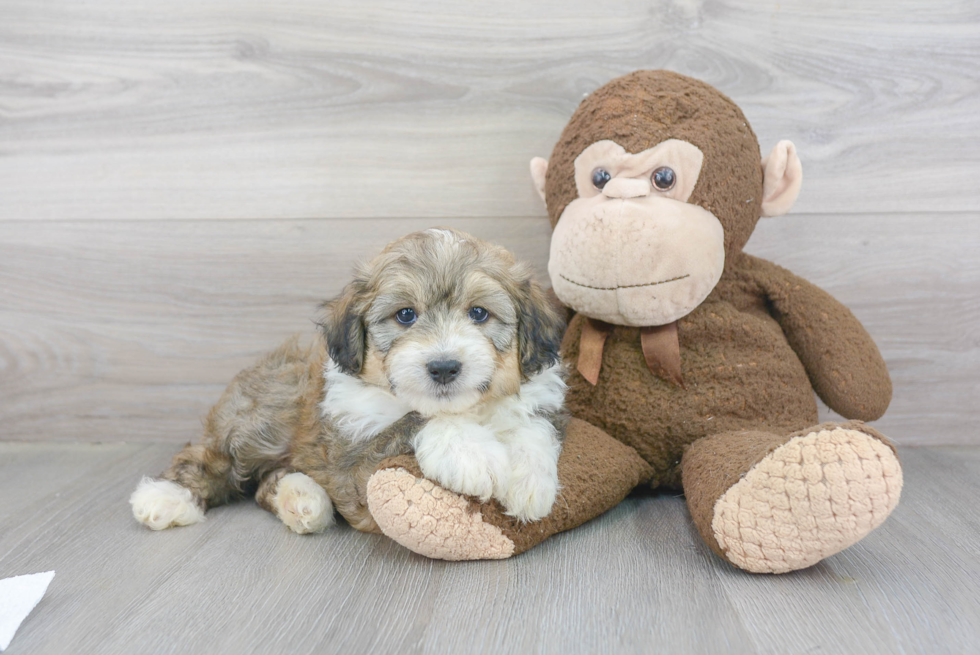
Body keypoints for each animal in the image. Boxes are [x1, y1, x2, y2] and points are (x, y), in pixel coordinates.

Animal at [134, 228, 572, 536]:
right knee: (213, 458)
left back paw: (303, 499)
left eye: (479, 313)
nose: (444, 367)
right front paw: (472, 452)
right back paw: (165, 497)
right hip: (265, 412)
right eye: (405, 315)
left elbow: (532, 424)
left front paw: (531, 481)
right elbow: (416, 421)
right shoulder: (353, 463)